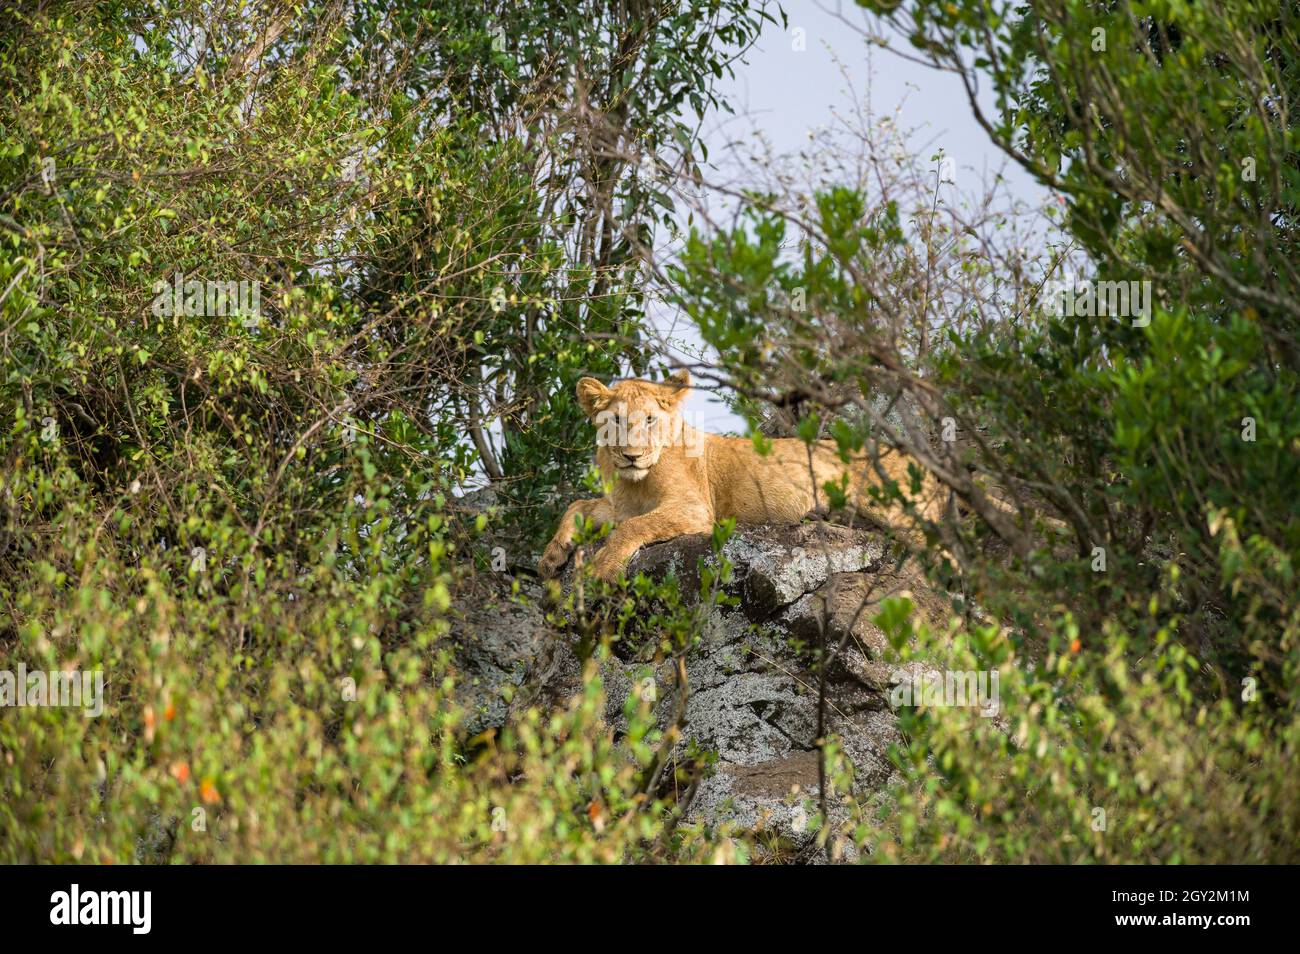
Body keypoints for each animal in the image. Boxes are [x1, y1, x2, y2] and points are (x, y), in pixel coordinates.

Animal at [538, 371, 946, 582]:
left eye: (650, 420)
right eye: (617, 421)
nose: (631, 455)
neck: (632, 481)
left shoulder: (696, 509)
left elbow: (633, 527)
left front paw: (603, 566)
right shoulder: (619, 506)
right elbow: (579, 505)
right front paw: (552, 555)